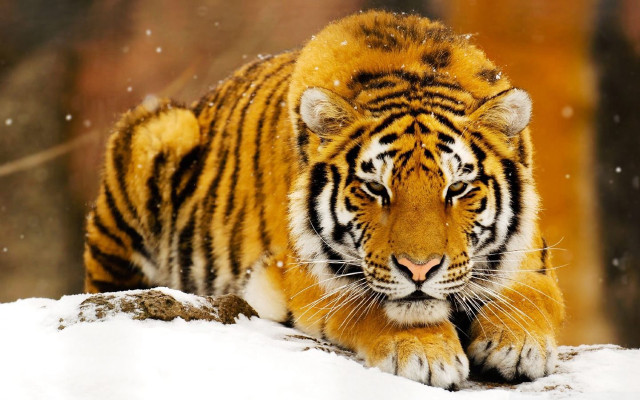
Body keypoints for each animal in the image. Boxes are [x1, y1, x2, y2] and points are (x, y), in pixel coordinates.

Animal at [84, 11, 565, 388]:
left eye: (457, 188)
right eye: (376, 188)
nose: (419, 270)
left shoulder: (530, 257)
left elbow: (531, 296)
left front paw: (518, 344)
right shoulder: (304, 273)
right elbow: (373, 304)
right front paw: (426, 353)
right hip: (158, 133)